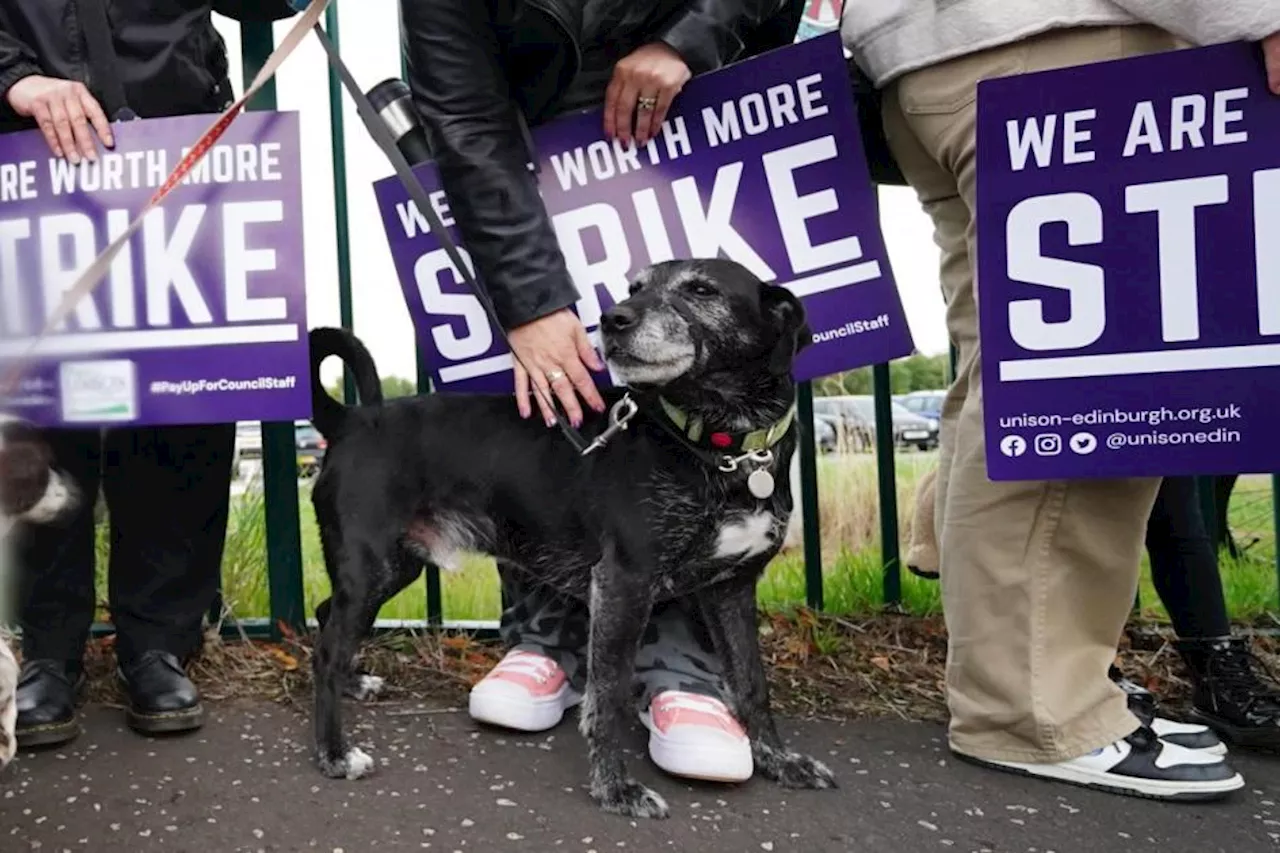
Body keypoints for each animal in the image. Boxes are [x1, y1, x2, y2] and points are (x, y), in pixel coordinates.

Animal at [304, 256, 834, 814]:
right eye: (634, 288)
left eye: (702, 290)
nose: (613, 318)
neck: (721, 445)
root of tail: (350, 419)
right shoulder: (624, 583)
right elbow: (608, 696)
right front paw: (615, 788)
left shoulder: (732, 591)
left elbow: (752, 684)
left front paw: (782, 761)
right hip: (372, 566)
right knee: (326, 651)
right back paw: (334, 753)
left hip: (394, 566)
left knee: (325, 615)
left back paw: (354, 683)